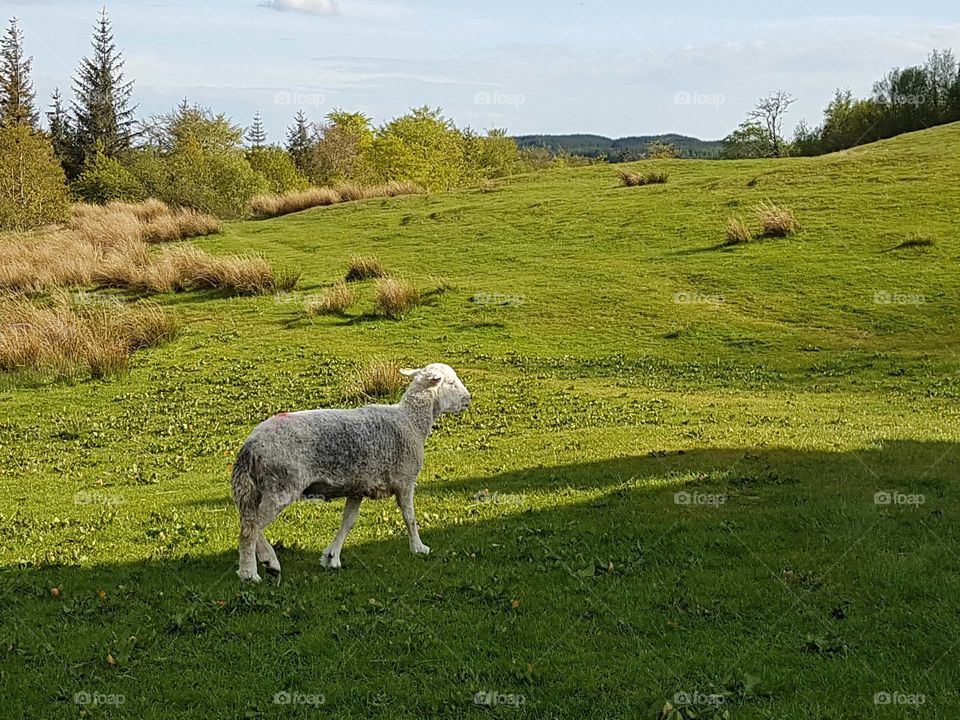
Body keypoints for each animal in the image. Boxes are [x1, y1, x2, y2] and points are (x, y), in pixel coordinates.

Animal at [231, 363, 471, 582]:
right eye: (451, 383)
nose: (468, 398)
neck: (411, 421)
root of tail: (249, 447)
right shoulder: (405, 480)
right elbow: (410, 517)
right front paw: (418, 547)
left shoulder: (358, 487)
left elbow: (348, 522)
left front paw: (331, 556)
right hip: (281, 485)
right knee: (250, 527)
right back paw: (250, 572)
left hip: (257, 488)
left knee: (248, 521)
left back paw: (267, 559)